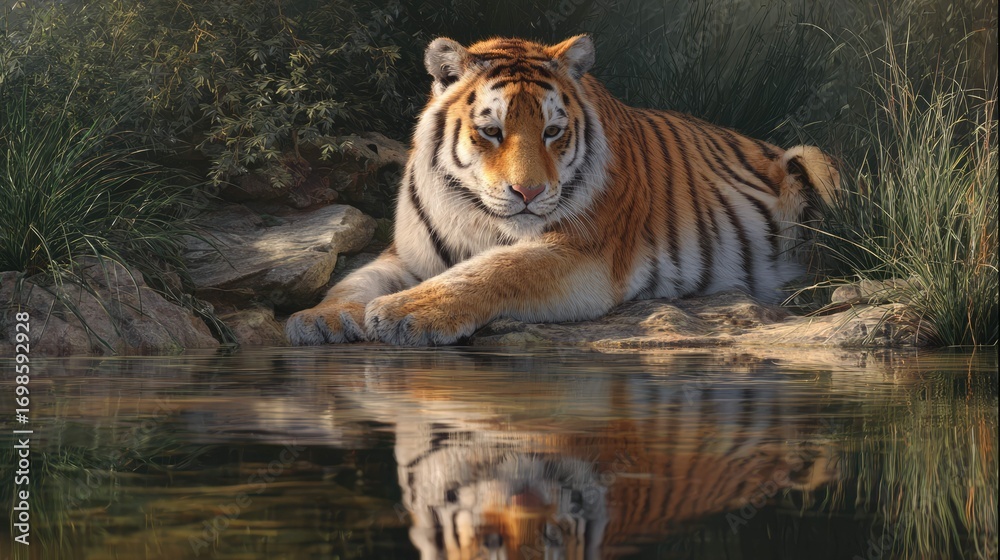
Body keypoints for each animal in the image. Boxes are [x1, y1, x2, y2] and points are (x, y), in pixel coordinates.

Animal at [285, 35, 839, 346]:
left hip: (814, 159)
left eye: (553, 131)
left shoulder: (583, 254)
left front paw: (406, 314)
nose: (528, 192)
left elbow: (494, 270)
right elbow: (353, 281)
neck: (478, 216)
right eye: (491, 131)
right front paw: (318, 320)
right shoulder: (407, 254)